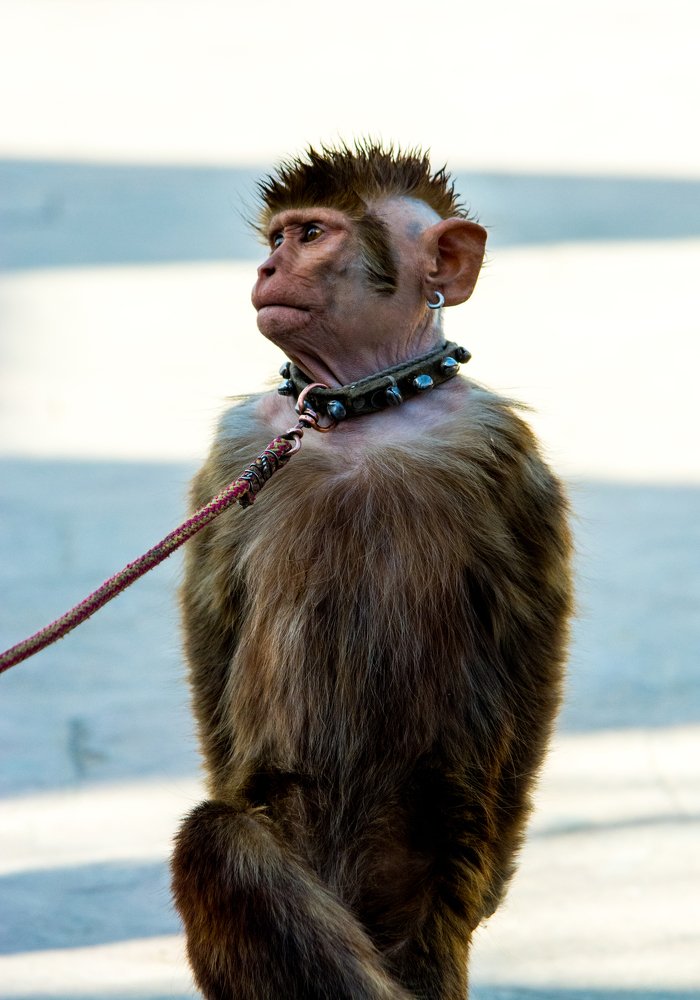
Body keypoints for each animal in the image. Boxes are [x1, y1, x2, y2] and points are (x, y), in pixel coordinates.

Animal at [171, 142, 572, 1000]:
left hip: (433, 823)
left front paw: (496, 885)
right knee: (225, 843)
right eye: (280, 235)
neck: (357, 410)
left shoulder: (499, 450)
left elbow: (530, 636)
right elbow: (214, 625)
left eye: (310, 235)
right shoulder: (238, 444)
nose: (269, 265)